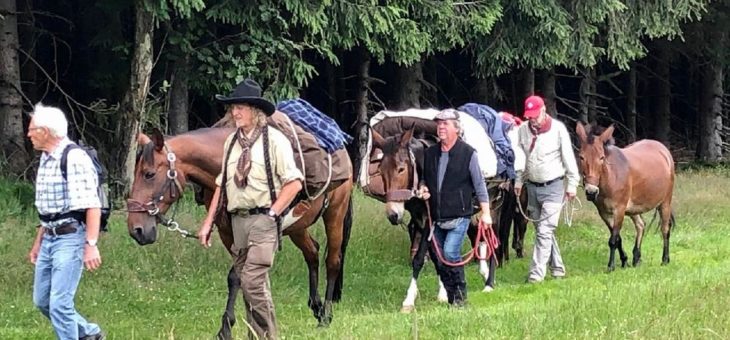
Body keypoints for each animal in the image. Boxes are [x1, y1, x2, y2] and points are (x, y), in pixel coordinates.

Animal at [126, 127, 352, 338]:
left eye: (149, 174)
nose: (136, 230)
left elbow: (240, 276)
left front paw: (227, 328)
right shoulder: (228, 233)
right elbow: (239, 277)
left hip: (335, 215)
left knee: (333, 261)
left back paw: (326, 316)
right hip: (298, 227)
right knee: (312, 252)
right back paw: (316, 307)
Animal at [572, 123, 672, 270]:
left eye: (601, 157)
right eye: (581, 157)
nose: (591, 192)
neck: (611, 177)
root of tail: (663, 149)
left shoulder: (619, 210)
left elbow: (613, 240)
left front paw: (611, 266)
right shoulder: (604, 213)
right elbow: (617, 238)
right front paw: (624, 260)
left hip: (665, 202)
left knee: (665, 229)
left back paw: (665, 259)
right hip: (633, 208)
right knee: (641, 225)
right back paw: (636, 258)